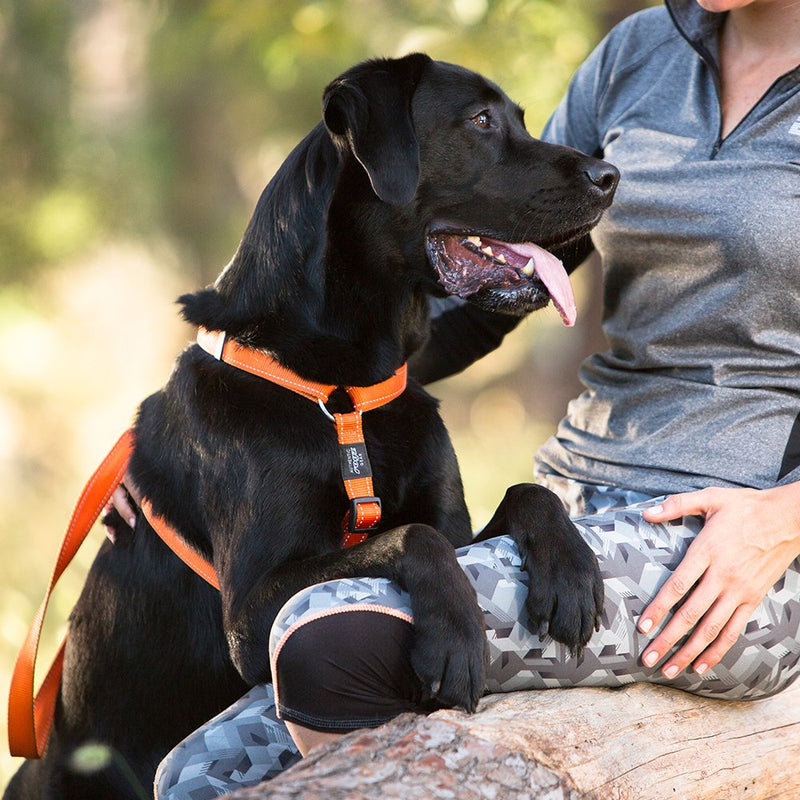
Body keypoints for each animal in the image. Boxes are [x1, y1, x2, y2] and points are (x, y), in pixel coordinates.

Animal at [6, 53, 616, 796]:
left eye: (522, 119)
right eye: (480, 120)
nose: (610, 176)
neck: (342, 391)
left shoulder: (458, 527)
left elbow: (522, 496)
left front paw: (572, 572)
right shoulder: (251, 611)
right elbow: (409, 538)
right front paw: (454, 636)